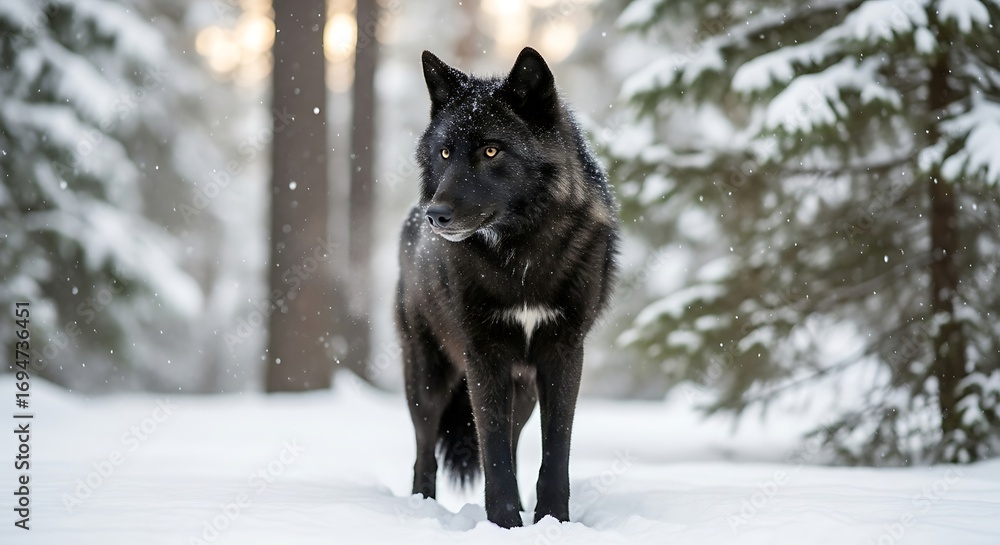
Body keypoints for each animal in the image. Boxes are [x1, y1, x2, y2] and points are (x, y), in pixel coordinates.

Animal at [395, 46, 619, 528]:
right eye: (445, 152)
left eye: (491, 150)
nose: (436, 215)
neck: (522, 254)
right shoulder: (484, 355)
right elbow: (493, 452)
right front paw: (504, 524)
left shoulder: (564, 352)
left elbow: (554, 450)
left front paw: (552, 521)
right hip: (427, 379)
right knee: (425, 452)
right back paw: (420, 508)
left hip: (524, 391)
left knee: (512, 443)